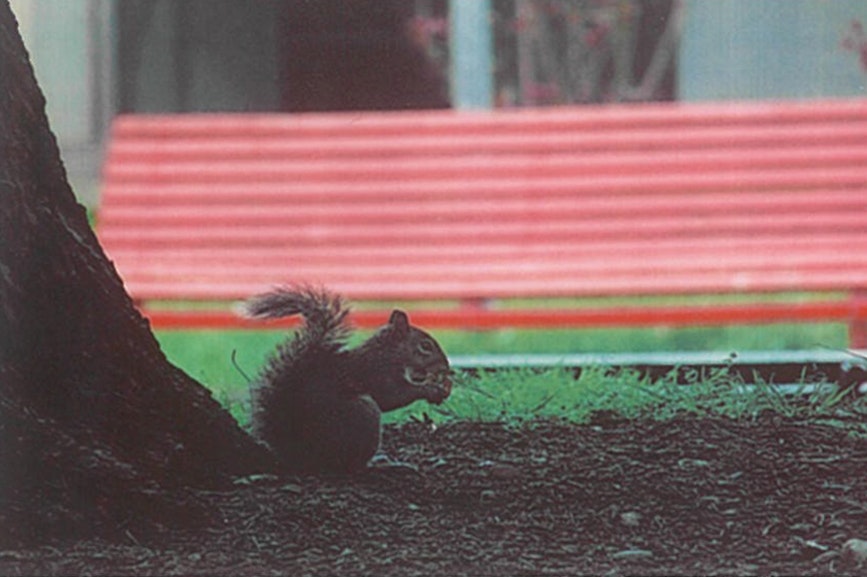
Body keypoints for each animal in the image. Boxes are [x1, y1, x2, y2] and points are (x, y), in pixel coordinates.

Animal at [239, 286, 452, 474]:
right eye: (425, 346)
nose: (447, 368)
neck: (389, 354)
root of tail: (304, 456)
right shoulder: (378, 373)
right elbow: (393, 396)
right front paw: (431, 389)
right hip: (364, 414)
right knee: (352, 467)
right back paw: (382, 465)